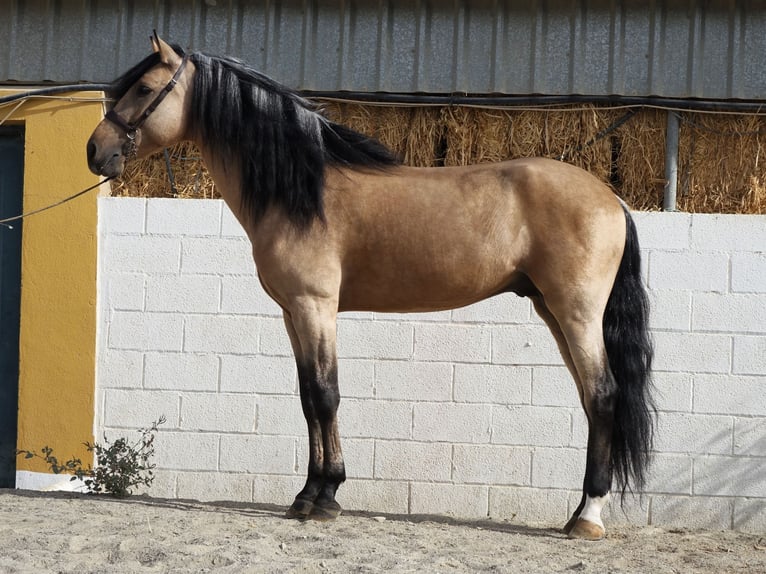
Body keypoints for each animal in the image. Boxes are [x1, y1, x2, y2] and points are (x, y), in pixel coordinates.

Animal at [88, 33, 656, 544]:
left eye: (143, 89)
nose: (96, 151)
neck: (303, 191)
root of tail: (610, 198)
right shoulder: (292, 314)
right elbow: (307, 397)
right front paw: (306, 495)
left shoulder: (316, 307)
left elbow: (326, 394)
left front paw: (326, 497)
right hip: (552, 311)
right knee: (590, 398)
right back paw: (577, 512)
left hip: (577, 311)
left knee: (603, 394)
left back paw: (589, 517)